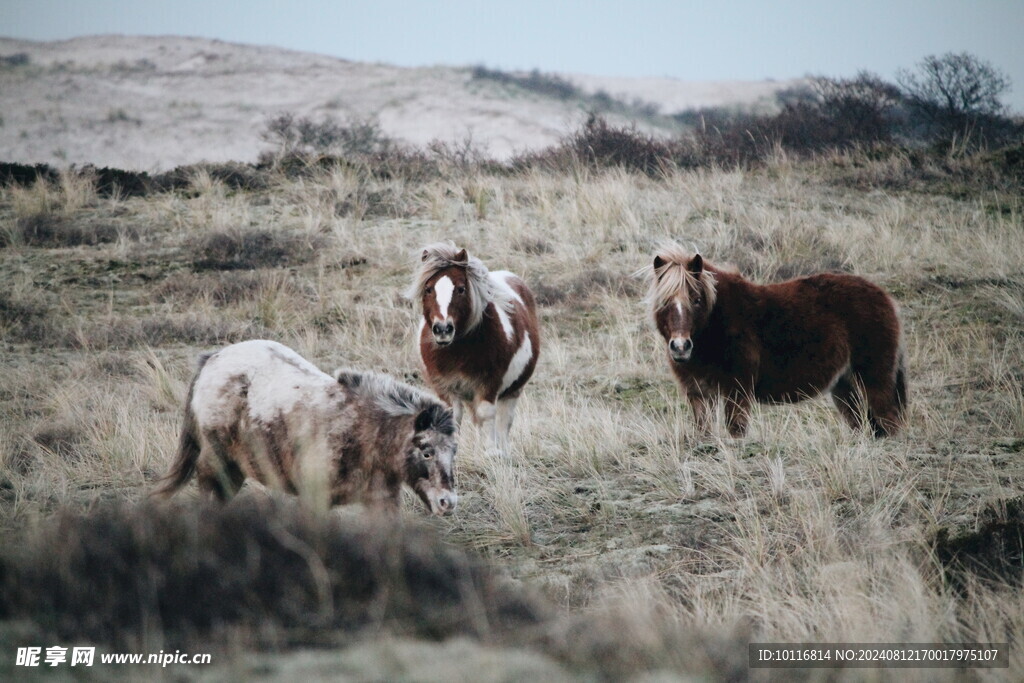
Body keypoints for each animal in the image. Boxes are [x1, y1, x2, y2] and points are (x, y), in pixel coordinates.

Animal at [151, 339, 456, 516]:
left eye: (453, 452)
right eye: (426, 451)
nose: (448, 502)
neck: (363, 432)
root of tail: (213, 358)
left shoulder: (381, 502)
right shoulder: (315, 499)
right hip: (217, 463)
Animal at [643, 245, 909, 438]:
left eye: (696, 300)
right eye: (664, 302)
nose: (680, 347)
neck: (715, 325)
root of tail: (885, 298)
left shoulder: (738, 391)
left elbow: (736, 430)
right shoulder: (698, 395)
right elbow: (703, 432)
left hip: (874, 378)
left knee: (889, 419)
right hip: (843, 385)